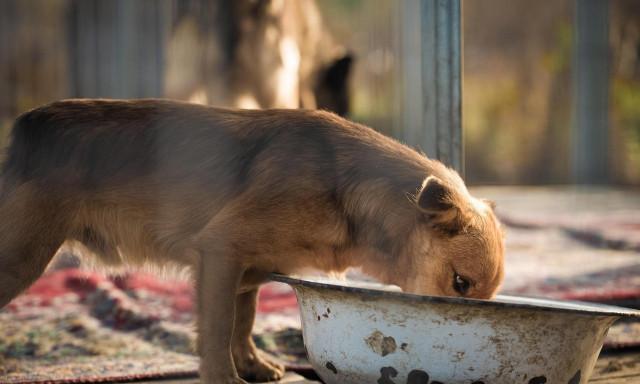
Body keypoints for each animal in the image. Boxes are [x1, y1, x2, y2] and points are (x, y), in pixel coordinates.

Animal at [0, 100, 504, 384]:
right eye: (460, 283)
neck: (345, 192)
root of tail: (26, 126)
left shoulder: (247, 269)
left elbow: (243, 321)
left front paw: (252, 364)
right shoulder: (221, 253)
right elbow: (218, 327)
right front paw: (225, 378)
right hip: (22, 257)